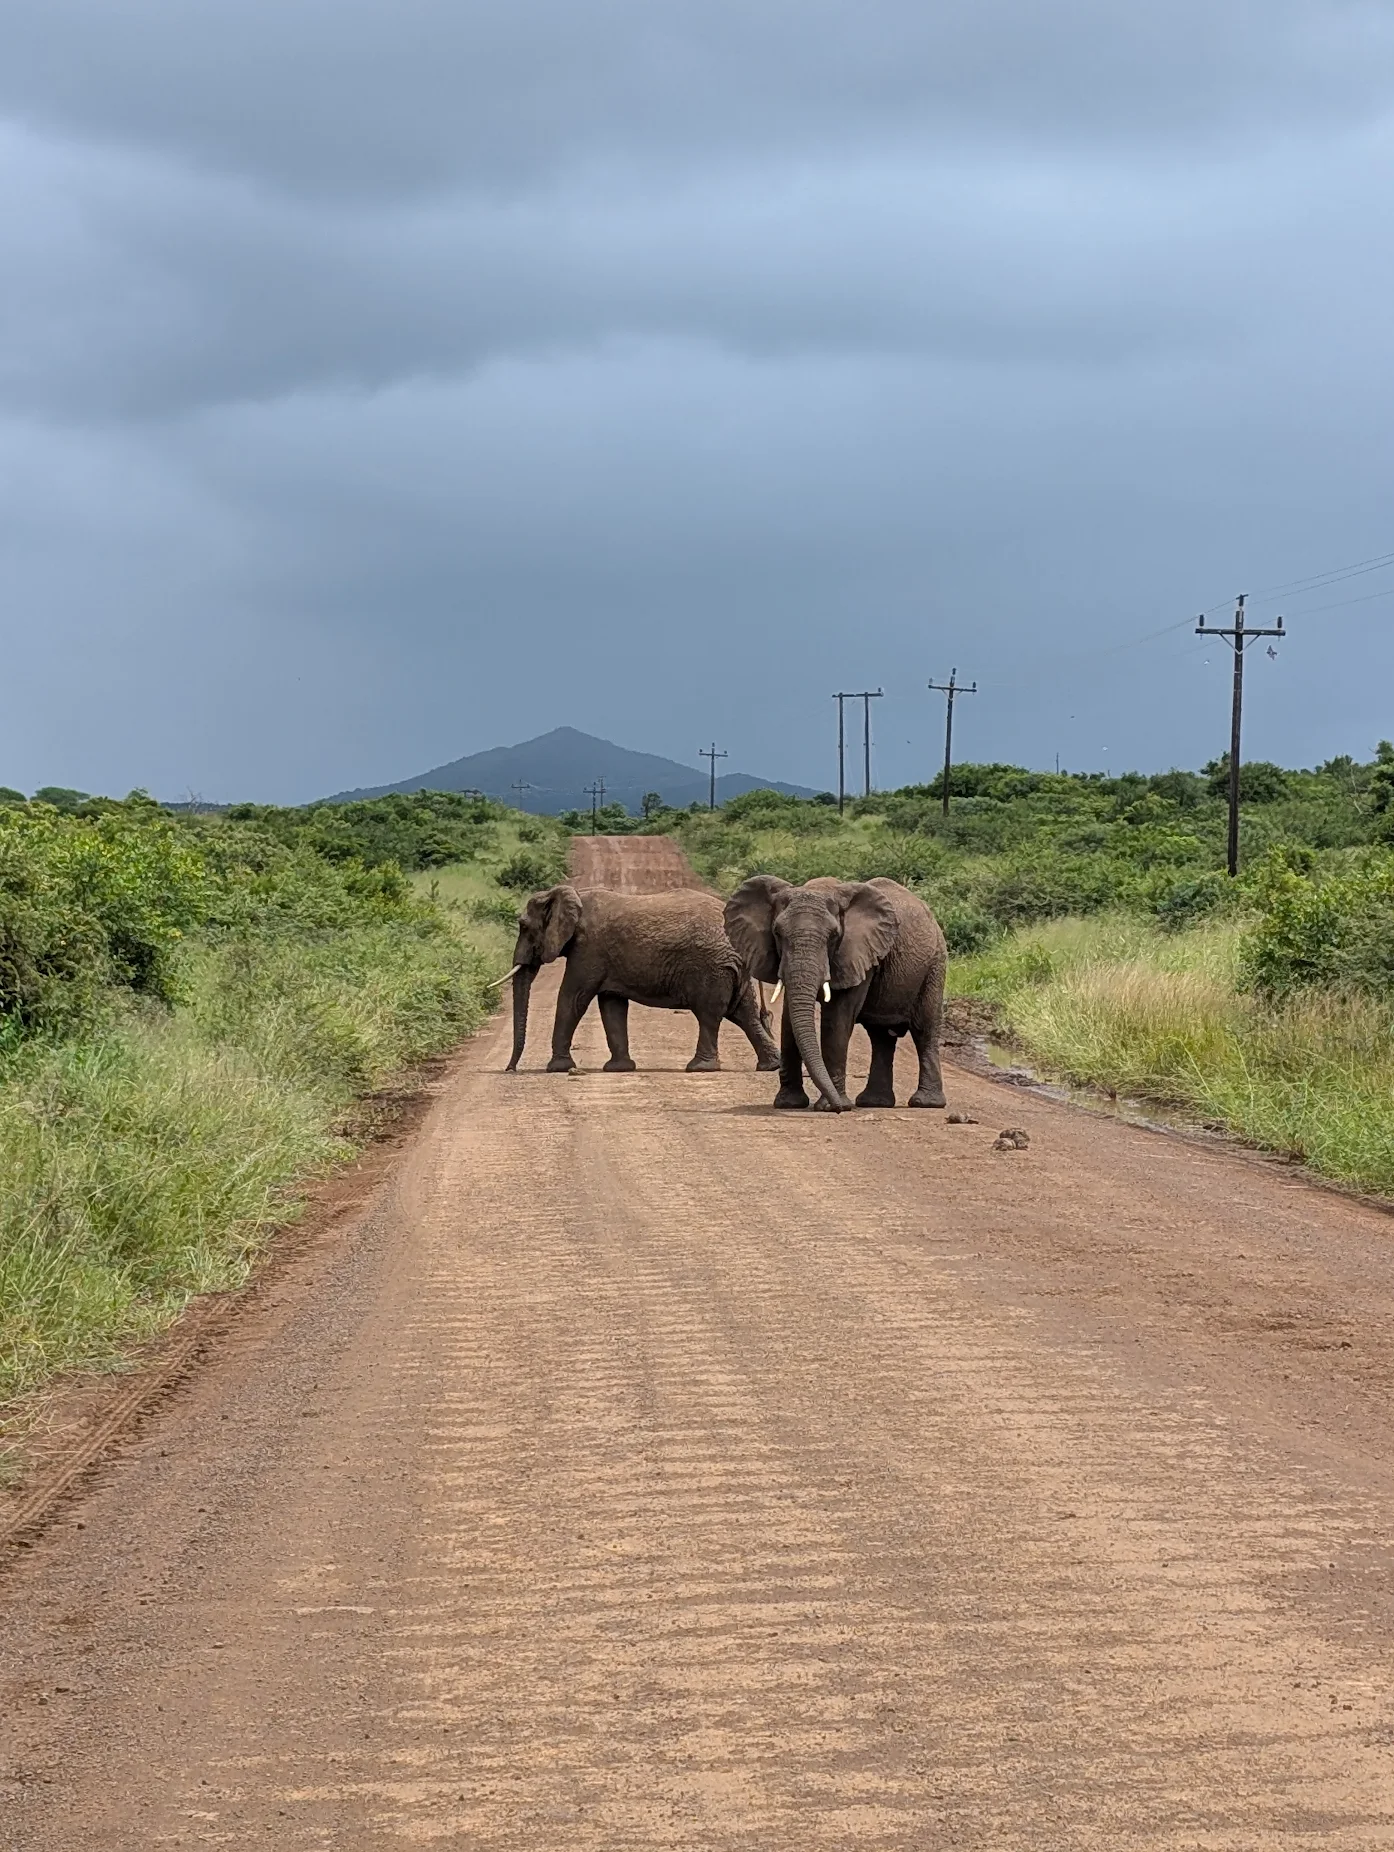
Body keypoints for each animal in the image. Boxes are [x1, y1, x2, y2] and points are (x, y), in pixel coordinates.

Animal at [506, 882, 782, 1075]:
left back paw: (700, 1068)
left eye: (523, 926)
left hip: (710, 969)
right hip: (731, 971)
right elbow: (612, 1005)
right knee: (744, 1014)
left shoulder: (588, 949)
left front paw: (557, 1068)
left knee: (709, 1015)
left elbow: (573, 999)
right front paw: (618, 1069)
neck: (574, 893)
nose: (510, 1069)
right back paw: (770, 1066)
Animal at [723, 874, 947, 1113]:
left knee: (924, 1030)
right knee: (881, 1036)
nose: (840, 1109)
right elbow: (788, 1019)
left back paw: (926, 1103)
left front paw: (829, 1107)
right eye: (777, 933)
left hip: (934, 966)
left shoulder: (856, 953)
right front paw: (788, 1104)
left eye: (833, 936)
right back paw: (874, 1102)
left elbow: (837, 1017)